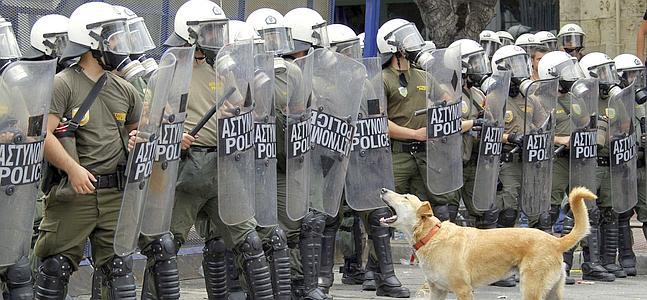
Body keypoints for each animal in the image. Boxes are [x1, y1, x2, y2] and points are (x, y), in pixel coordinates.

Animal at [380, 188, 596, 300]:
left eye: (405, 197)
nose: (383, 189)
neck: (432, 236)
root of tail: (555, 240)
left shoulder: (463, 290)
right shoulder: (437, 290)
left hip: (531, 289)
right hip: (551, 292)